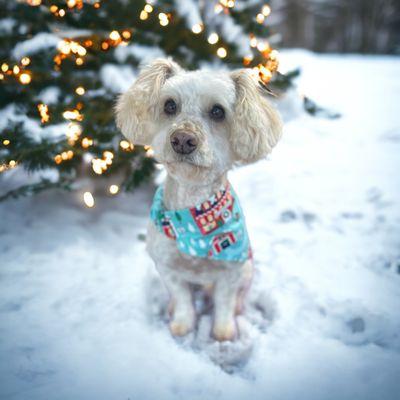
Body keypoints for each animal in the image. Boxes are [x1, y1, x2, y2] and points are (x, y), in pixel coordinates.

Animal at [115, 58, 282, 340]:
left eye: (218, 111)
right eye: (170, 105)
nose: (182, 139)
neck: (192, 215)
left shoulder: (230, 272)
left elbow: (224, 304)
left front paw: (223, 333)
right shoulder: (168, 268)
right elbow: (183, 300)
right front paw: (182, 326)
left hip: (247, 269)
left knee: (239, 296)